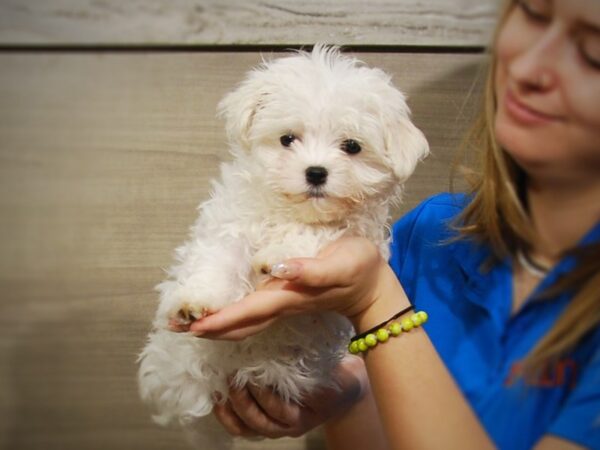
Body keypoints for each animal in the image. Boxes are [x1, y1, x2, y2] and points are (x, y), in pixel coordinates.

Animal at [137, 44, 426, 446]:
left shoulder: (355, 232)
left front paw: (279, 255)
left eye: (351, 147)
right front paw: (197, 301)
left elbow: (322, 233)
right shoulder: (231, 223)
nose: (316, 172)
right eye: (288, 139)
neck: (288, 211)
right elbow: (220, 257)